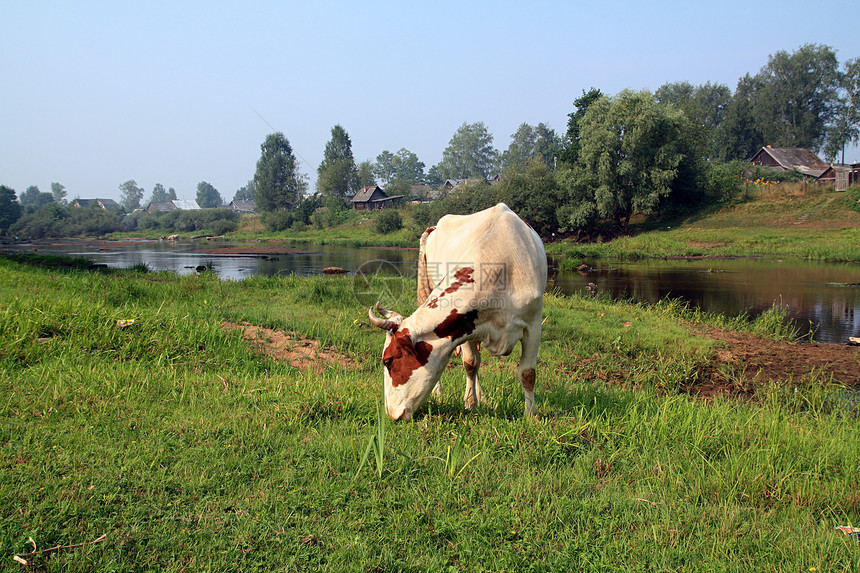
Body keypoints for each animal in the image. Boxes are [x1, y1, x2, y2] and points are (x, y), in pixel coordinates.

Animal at [368, 202, 544, 420]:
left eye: (388, 360)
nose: (390, 414)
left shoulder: (534, 325)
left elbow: (528, 373)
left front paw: (531, 415)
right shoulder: (466, 326)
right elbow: (470, 363)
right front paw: (470, 402)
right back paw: (441, 393)